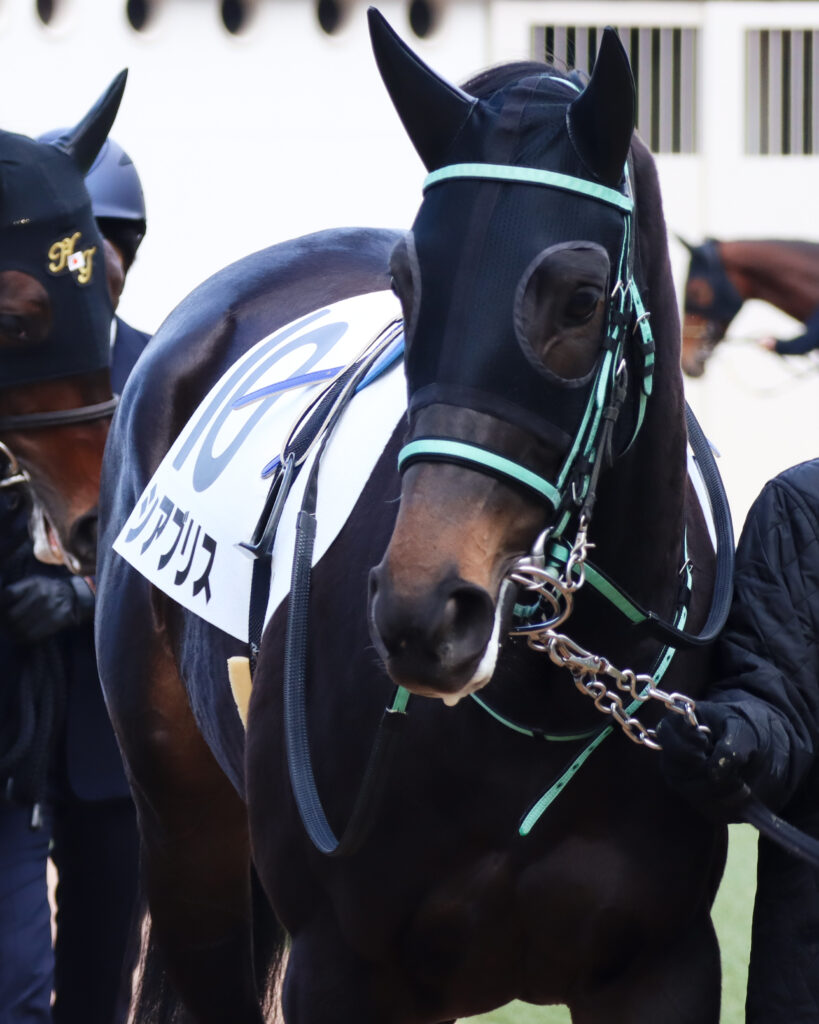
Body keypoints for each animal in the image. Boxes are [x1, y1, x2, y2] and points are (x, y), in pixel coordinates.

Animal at [96, 11, 731, 1023]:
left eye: (581, 298)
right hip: (185, 839)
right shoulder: (340, 969)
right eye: (405, 283)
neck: (538, 698)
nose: (424, 611)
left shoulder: (660, 966)